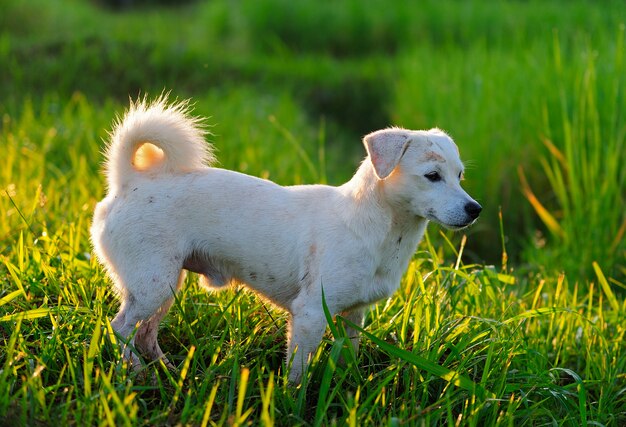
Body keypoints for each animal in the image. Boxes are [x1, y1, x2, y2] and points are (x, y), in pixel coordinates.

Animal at [89, 97, 478, 384]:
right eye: (432, 176)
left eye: (460, 176)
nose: (475, 209)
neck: (380, 230)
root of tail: (129, 182)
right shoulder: (309, 315)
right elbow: (297, 374)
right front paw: (293, 404)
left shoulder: (353, 317)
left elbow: (348, 358)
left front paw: (347, 389)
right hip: (153, 284)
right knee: (121, 329)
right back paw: (131, 375)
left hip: (163, 286)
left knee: (144, 334)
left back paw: (165, 373)